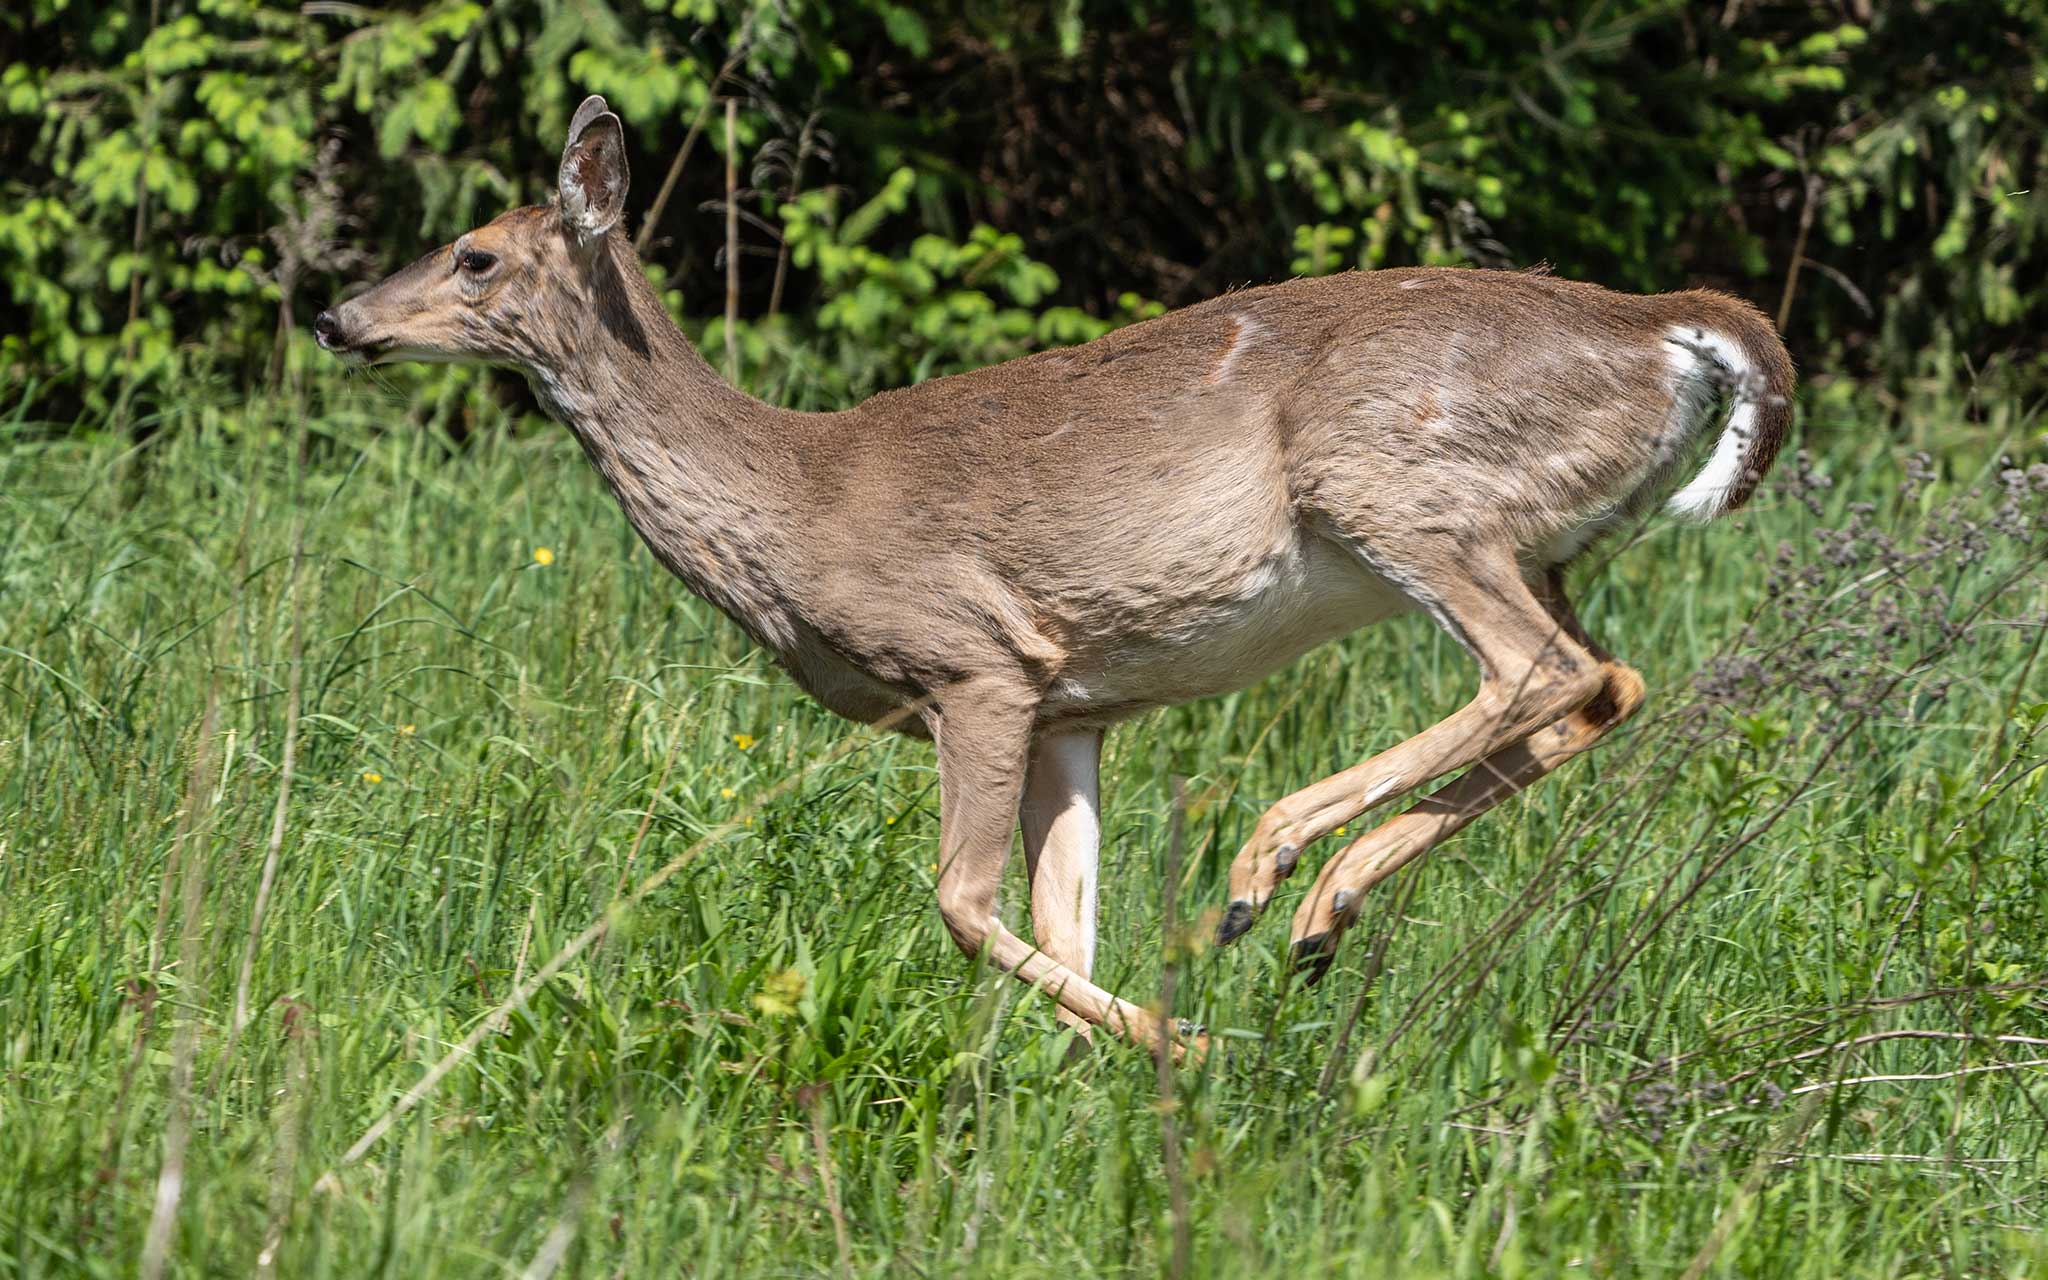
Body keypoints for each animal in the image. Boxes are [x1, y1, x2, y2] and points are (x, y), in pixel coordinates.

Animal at [315, 96, 1792, 1056]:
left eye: (475, 254)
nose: (336, 316)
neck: (795, 499)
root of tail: (1668, 327)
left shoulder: (971, 662)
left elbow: (963, 906)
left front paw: (1183, 1047)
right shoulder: (1072, 700)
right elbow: (1060, 920)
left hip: (1400, 490)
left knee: (1540, 668)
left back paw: (1265, 871)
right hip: (1544, 539)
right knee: (1610, 680)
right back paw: (1319, 914)